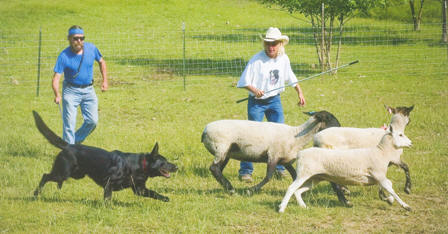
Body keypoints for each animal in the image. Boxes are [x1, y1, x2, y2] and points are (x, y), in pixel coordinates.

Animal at [32, 111, 177, 201]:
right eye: (164, 162)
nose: (176, 167)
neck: (139, 166)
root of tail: (68, 146)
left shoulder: (139, 190)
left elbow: (154, 193)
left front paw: (165, 198)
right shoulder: (109, 183)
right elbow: (107, 198)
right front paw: (107, 208)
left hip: (75, 174)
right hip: (63, 172)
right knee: (45, 176)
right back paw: (36, 194)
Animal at [200, 110, 340, 195]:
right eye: (329, 118)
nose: (340, 127)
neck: (296, 136)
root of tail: (205, 131)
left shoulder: (285, 160)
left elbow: (294, 175)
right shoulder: (273, 155)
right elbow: (268, 176)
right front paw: (251, 190)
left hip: (226, 153)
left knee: (217, 170)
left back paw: (228, 188)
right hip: (221, 148)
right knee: (214, 168)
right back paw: (231, 189)